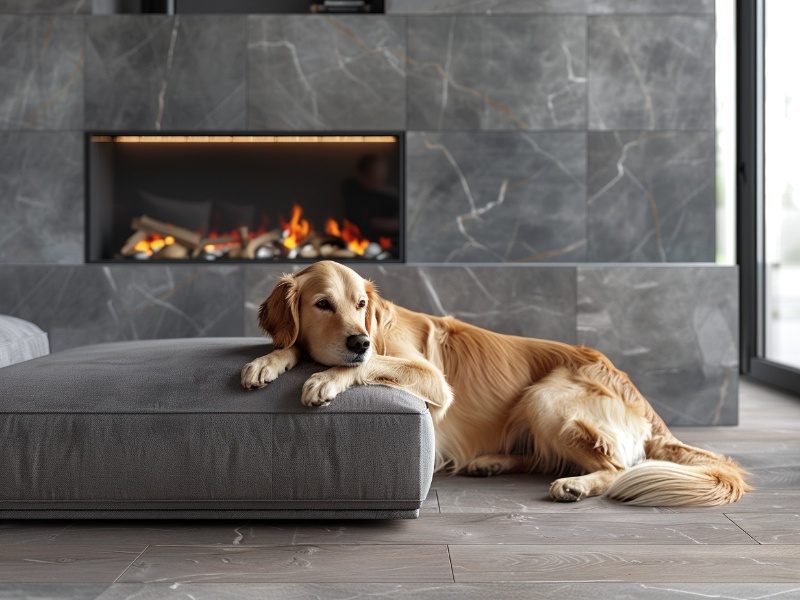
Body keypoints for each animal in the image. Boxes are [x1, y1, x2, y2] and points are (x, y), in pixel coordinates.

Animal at [239, 260, 752, 504]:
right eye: (322, 304)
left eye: (362, 304)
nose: (360, 340)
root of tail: (641, 399)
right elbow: (292, 346)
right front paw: (268, 361)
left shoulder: (435, 382)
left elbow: (363, 367)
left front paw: (325, 380)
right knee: (543, 457)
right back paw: (492, 462)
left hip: (546, 396)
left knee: (616, 468)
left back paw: (575, 485)